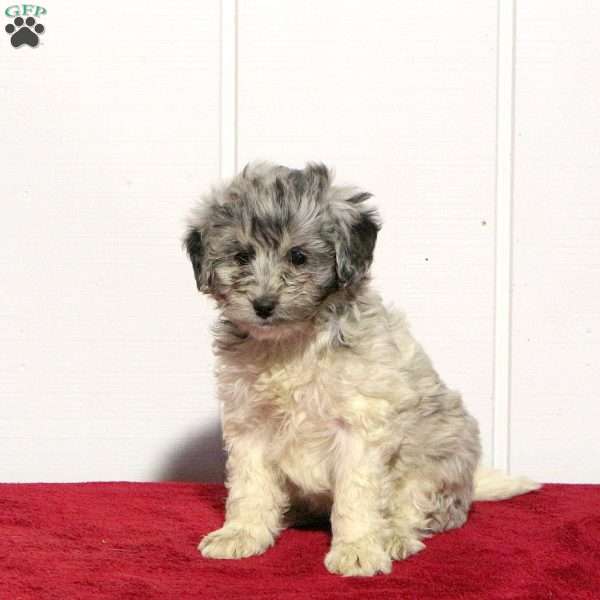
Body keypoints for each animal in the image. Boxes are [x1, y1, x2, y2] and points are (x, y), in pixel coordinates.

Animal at [184, 163, 540, 576]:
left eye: (299, 256)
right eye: (241, 256)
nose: (263, 305)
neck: (293, 343)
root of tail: (469, 485)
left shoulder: (360, 424)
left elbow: (356, 496)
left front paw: (356, 549)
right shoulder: (251, 425)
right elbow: (250, 486)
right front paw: (242, 533)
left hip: (436, 462)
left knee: (414, 509)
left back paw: (395, 537)